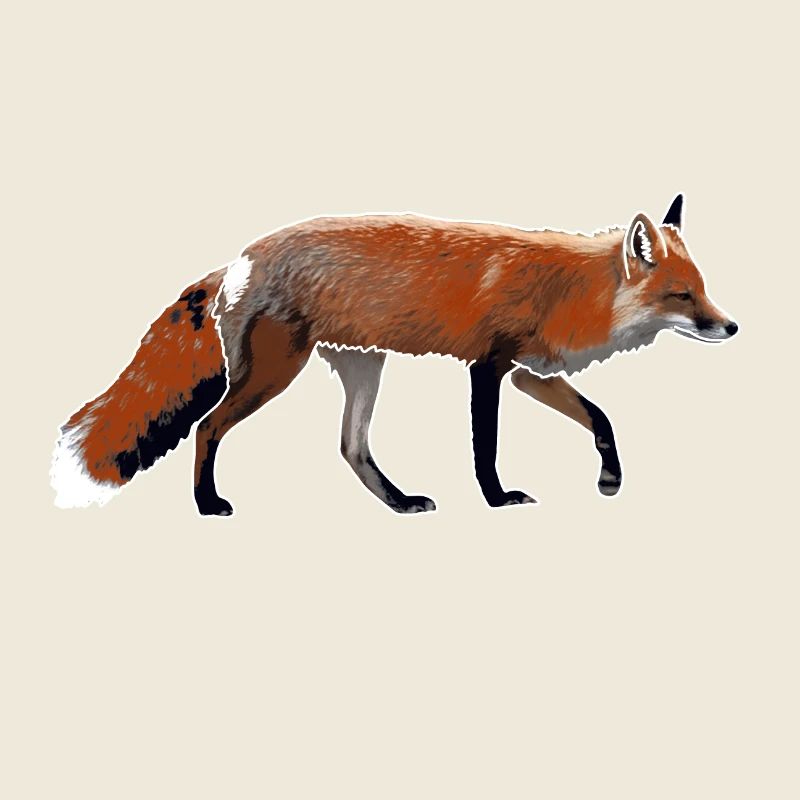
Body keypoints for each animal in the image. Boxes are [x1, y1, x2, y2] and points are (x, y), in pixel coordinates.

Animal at [51, 194, 738, 516]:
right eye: (682, 295)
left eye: (704, 288)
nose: (731, 326)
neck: (573, 290)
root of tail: (241, 258)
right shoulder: (488, 368)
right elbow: (485, 447)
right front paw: (496, 499)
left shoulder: (529, 374)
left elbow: (601, 419)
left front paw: (609, 478)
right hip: (275, 372)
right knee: (206, 427)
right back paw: (207, 505)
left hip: (364, 367)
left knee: (351, 449)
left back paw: (401, 503)